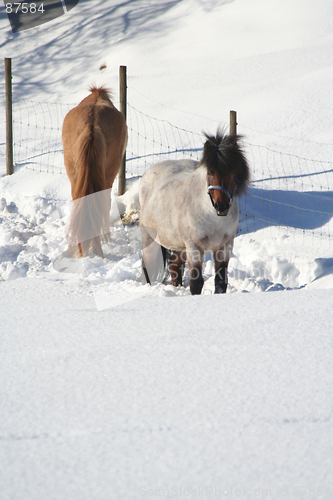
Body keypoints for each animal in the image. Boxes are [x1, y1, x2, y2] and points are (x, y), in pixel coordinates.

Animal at [137, 131, 249, 294]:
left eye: (232, 173)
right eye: (210, 173)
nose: (221, 206)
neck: (212, 217)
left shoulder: (225, 246)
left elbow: (220, 281)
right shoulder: (194, 247)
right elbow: (196, 283)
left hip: (178, 245)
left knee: (174, 267)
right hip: (150, 238)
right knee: (147, 267)